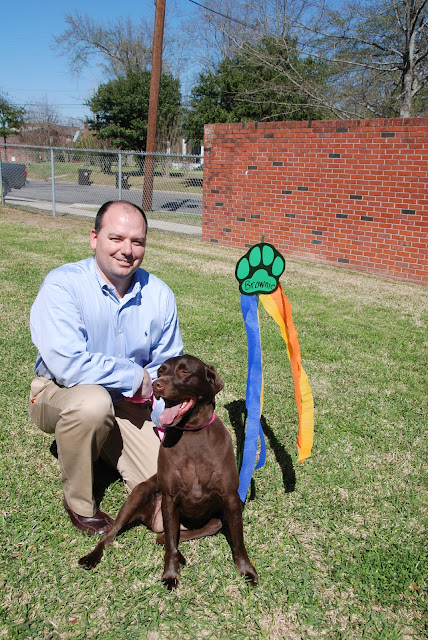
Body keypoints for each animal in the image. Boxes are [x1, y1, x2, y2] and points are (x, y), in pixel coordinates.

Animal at [79, 354, 258, 589]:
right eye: (161, 371)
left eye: (184, 372)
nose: (156, 384)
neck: (191, 432)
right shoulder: (170, 498)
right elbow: (171, 545)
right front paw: (170, 574)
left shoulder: (230, 497)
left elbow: (238, 541)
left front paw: (246, 570)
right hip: (139, 496)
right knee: (112, 534)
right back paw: (92, 556)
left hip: (212, 521)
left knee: (170, 536)